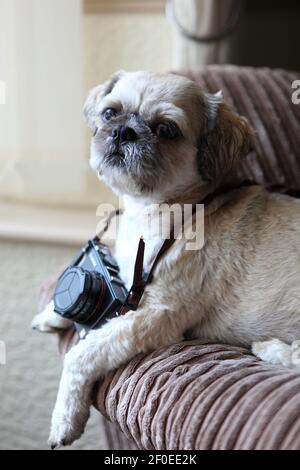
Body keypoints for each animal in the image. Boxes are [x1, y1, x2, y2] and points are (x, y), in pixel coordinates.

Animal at [31, 70, 300, 448]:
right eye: (110, 113)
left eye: (167, 130)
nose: (123, 131)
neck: (159, 212)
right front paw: (54, 314)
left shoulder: (156, 316)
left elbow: (83, 355)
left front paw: (64, 418)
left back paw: (270, 348)